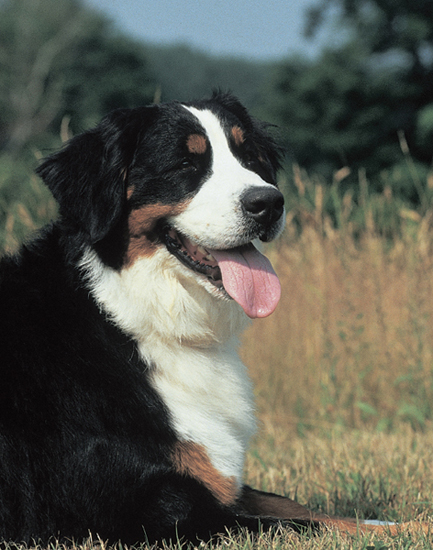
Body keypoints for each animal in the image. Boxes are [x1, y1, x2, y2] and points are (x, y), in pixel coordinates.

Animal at [0, 92, 426, 544]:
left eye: (249, 156)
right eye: (186, 164)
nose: (268, 202)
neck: (129, 317)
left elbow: (302, 507)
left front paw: (400, 521)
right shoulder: (151, 510)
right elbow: (302, 523)